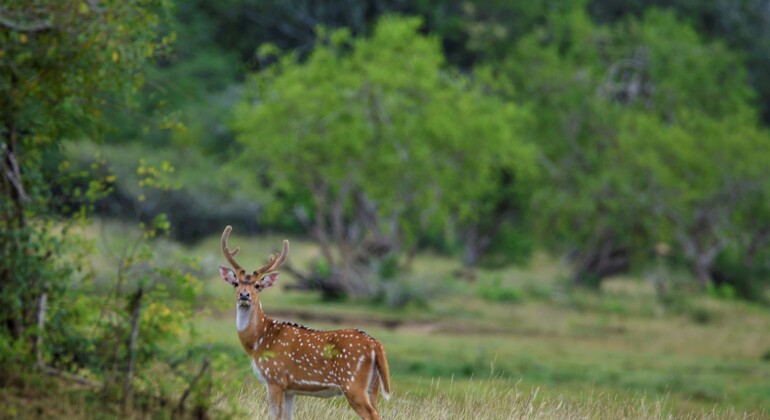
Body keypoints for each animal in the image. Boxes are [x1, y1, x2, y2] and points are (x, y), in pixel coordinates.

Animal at [219, 226, 392, 420]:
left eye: (257, 285)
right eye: (235, 283)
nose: (244, 295)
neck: (258, 341)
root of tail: (376, 344)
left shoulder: (275, 378)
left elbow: (275, 416)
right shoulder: (290, 389)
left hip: (353, 382)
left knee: (372, 414)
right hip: (373, 385)